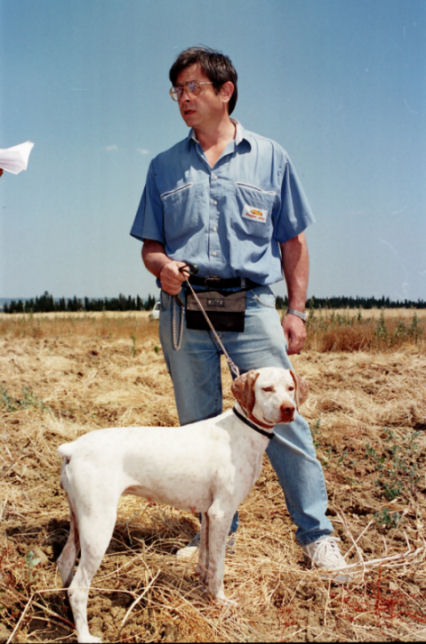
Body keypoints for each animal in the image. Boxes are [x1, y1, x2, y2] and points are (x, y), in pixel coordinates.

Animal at [58, 370, 308, 640]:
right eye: (267, 388)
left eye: (290, 388)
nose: (289, 409)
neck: (241, 430)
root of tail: (73, 448)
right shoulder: (221, 513)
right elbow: (218, 566)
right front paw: (220, 600)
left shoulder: (208, 515)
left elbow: (206, 558)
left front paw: (203, 587)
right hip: (98, 526)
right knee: (78, 588)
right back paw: (85, 636)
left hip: (79, 520)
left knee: (64, 563)